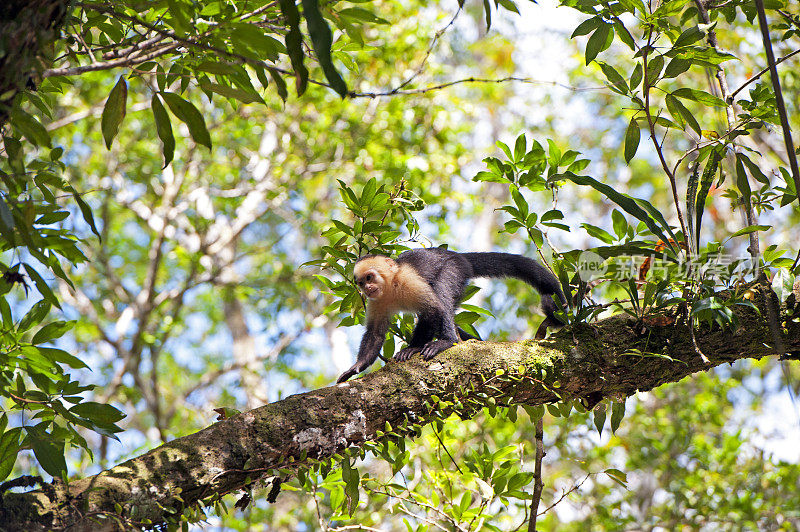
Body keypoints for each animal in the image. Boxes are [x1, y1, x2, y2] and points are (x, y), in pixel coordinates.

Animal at [334, 249, 564, 382]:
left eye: (370, 277)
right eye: (361, 282)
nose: (367, 288)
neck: (391, 286)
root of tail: (458, 254)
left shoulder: (409, 280)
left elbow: (433, 310)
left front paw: (413, 348)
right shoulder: (376, 300)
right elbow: (375, 333)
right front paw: (357, 367)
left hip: (454, 268)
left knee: (442, 295)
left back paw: (448, 341)